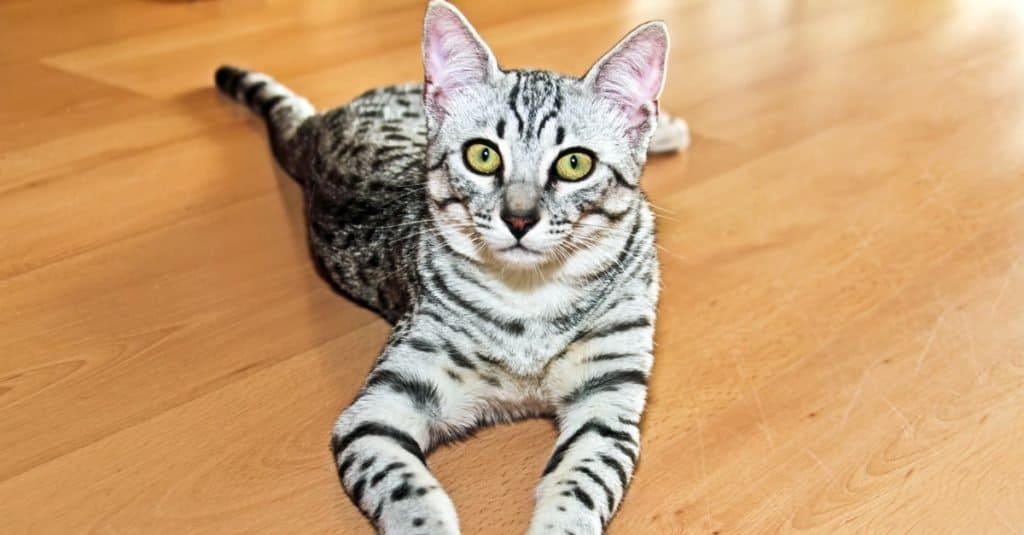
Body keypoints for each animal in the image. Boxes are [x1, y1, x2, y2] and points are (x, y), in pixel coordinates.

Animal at [214, 1, 688, 532]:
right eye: (482, 155)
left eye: (574, 164)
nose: (519, 219)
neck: (531, 299)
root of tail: (319, 129)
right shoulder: (377, 412)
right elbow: (408, 494)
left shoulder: (608, 403)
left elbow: (580, 487)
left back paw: (666, 127)